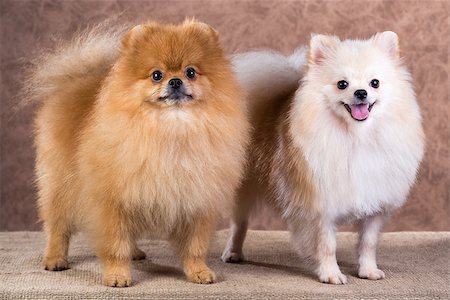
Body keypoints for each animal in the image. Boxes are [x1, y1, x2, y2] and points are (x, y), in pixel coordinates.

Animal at [26, 19, 250, 288]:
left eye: (191, 72)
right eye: (156, 75)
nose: (175, 81)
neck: (172, 130)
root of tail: (75, 80)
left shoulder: (195, 200)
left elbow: (194, 246)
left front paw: (198, 271)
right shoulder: (112, 200)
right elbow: (115, 244)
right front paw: (117, 275)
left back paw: (135, 252)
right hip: (61, 184)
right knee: (57, 226)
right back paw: (55, 259)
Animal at [223, 31, 424, 284]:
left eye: (374, 82)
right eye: (342, 84)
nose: (361, 93)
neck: (356, 137)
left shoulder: (375, 203)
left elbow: (368, 243)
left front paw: (368, 270)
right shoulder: (320, 205)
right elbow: (327, 245)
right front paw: (331, 274)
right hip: (245, 187)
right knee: (238, 222)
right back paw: (233, 252)